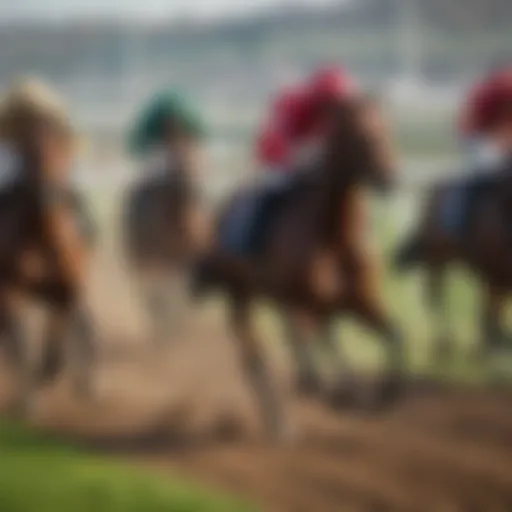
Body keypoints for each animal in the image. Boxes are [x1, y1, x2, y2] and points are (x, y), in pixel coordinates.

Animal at [0, 81, 97, 416]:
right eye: (28, 150)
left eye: (61, 147)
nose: (47, 195)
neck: (44, 237)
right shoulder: (10, 290)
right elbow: (21, 348)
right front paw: (28, 398)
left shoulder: (64, 293)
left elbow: (54, 356)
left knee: (84, 328)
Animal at [194, 97, 402, 444]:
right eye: (361, 133)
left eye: (386, 127)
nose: (390, 176)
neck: (332, 232)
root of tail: (221, 211)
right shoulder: (301, 301)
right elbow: (312, 349)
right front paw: (331, 391)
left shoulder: (358, 302)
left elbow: (395, 337)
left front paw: (383, 395)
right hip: (242, 295)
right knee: (256, 356)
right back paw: (281, 419)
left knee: (306, 340)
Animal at [394, 160, 512, 360]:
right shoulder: (494, 270)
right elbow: (491, 308)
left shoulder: (498, 273)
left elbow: (493, 308)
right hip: (437, 259)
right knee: (436, 295)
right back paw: (445, 343)